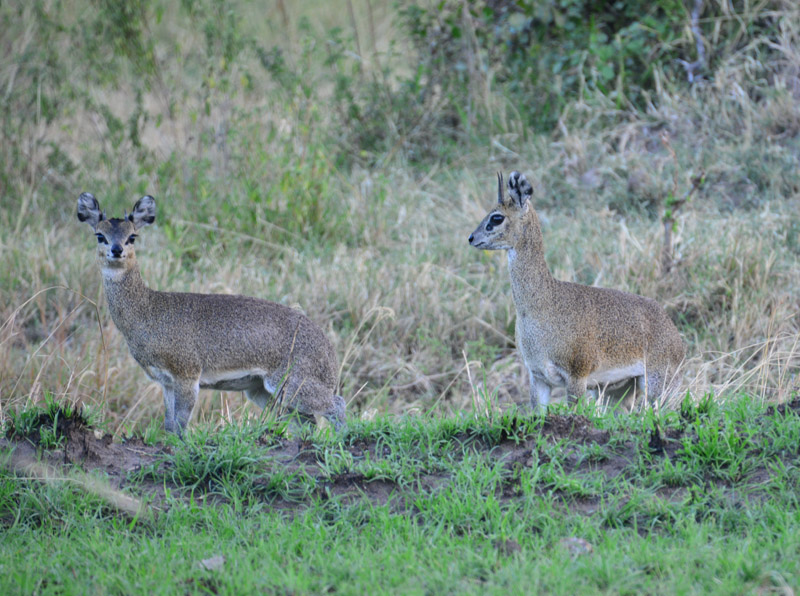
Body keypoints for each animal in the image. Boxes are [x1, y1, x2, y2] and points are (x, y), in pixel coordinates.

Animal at [76, 194, 346, 434]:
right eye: (100, 235)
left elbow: (181, 424)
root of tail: (331, 354)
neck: (148, 310)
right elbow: (169, 425)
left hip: (292, 385)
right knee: (307, 424)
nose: (116, 250)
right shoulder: (166, 382)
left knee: (337, 405)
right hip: (264, 391)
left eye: (132, 236)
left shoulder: (187, 375)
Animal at [472, 170, 684, 408]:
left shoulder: (576, 377)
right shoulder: (538, 377)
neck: (543, 304)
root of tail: (674, 333)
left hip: (658, 385)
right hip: (617, 391)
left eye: (496, 217)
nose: (472, 238)